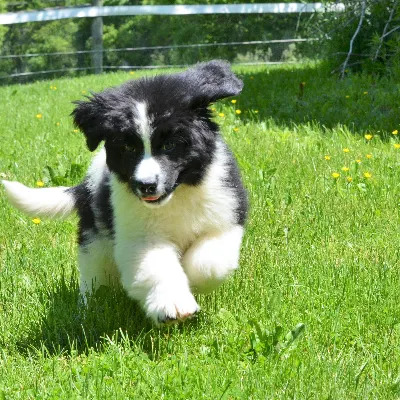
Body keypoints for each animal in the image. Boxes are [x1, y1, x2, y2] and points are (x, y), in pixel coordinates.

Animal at [2, 60, 247, 324]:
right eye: (128, 147)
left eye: (170, 145)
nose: (146, 185)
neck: (176, 197)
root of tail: (84, 186)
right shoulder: (137, 235)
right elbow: (156, 267)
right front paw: (172, 304)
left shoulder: (225, 216)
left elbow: (209, 262)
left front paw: (192, 281)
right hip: (95, 239)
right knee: (93, 277)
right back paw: (87, 312)